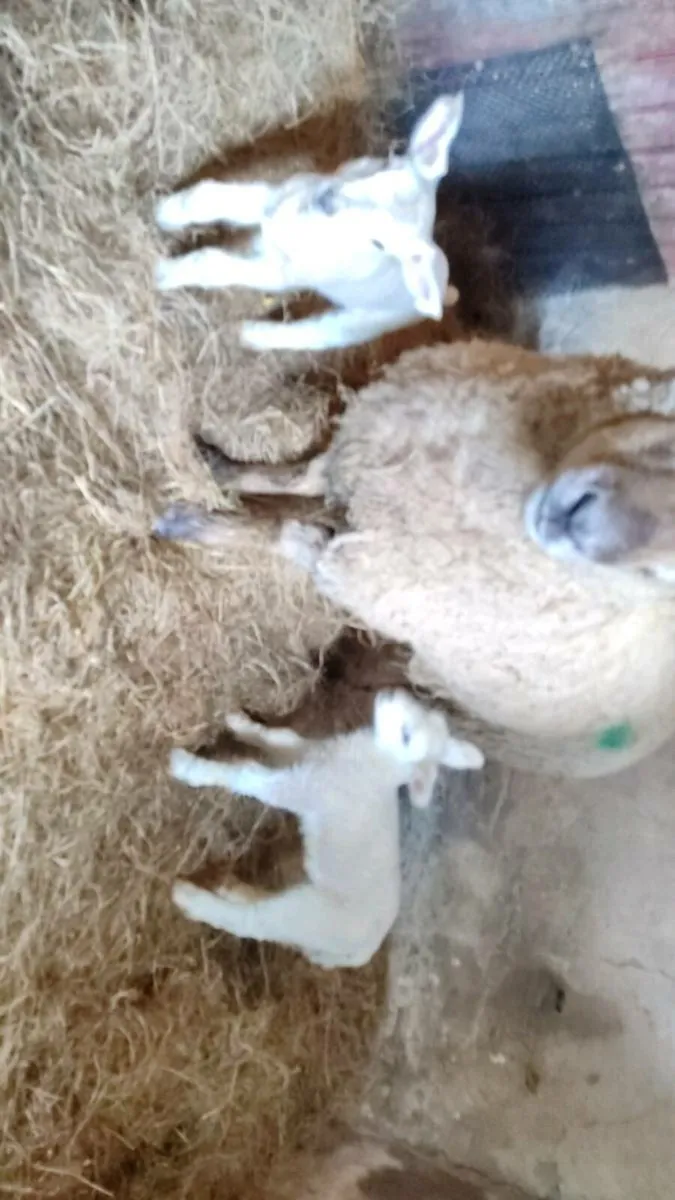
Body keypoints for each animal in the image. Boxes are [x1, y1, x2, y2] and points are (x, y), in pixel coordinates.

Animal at [153, 94, 463, 352]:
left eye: (380, 243)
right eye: (386, 165)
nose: (327, 201)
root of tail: (444, 289)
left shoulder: (284, 274)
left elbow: (214, 264)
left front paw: (165, 273)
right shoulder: (279, 195)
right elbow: (207, 197)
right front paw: (164, 212)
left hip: (358, 324)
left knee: (310, 335)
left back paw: (249, 334)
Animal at [153, 339, 675, 779]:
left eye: (666, 571)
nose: (578, 520)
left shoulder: (363, 575)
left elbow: (280, 532)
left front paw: (189, 524)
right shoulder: (366, 442)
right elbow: (297, 476)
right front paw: (217, 465)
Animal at [170, 690, 484, 969]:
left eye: (406, 736)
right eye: (424, 711)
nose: (391, 694)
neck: (377, 762)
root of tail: (363, 951)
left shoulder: (303, 788)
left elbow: (246, 775)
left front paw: (189, 768)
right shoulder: (308, 755)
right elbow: (277, 738)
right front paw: (239, 722)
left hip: (312, 917)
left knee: (251, 922)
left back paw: (190, 899)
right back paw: (231, 888)